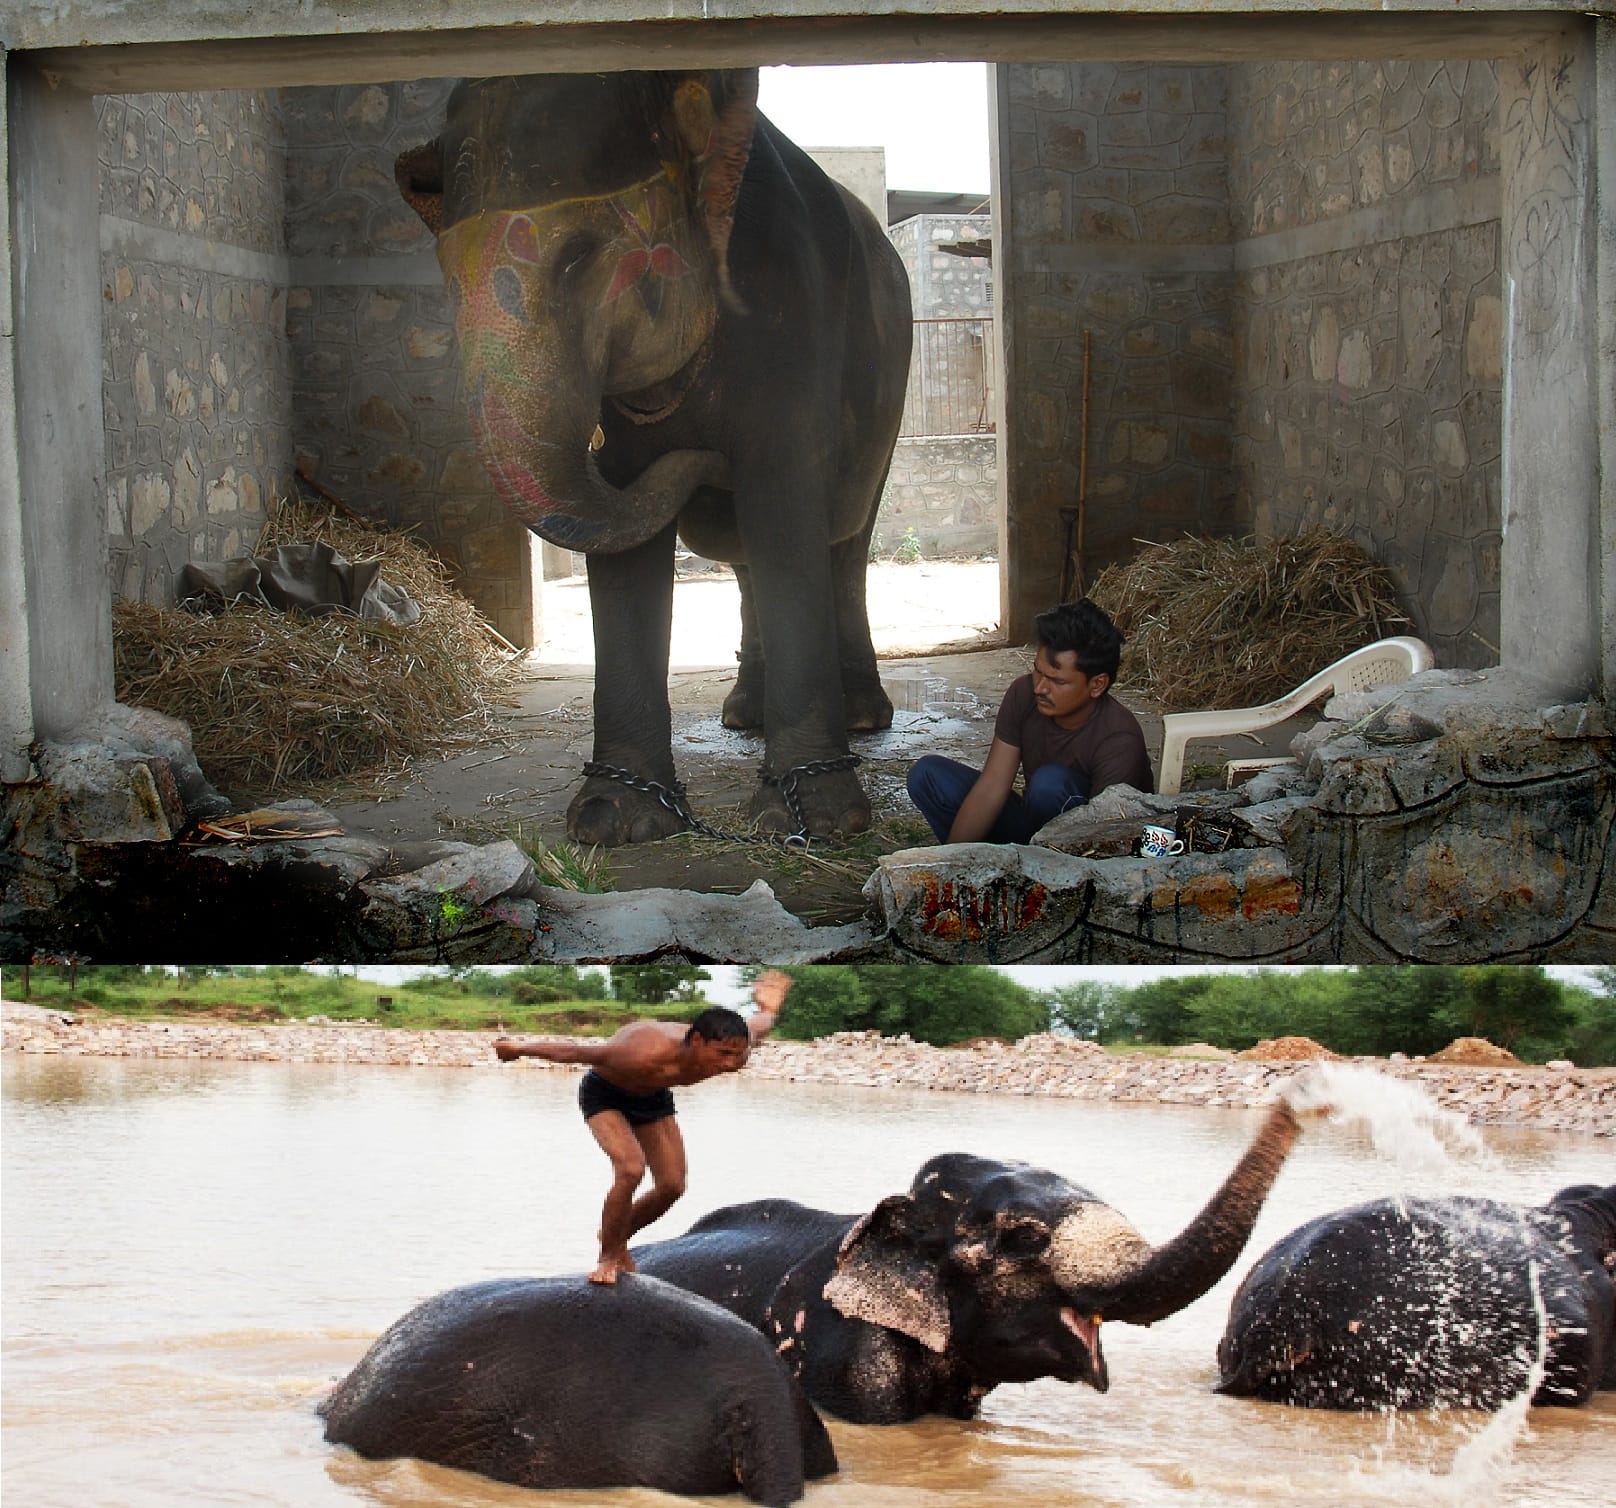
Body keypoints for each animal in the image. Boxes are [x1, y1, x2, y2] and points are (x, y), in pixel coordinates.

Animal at [396, 69, 913, 845]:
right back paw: (743, 715)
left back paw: (861, 717)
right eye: (447, 279)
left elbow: (783, 505)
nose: (703, 455)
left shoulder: (792, 315)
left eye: (580, 256)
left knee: (843, 540)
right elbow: (626, 534)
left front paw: (814, 823)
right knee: (746, 552)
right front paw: (612, 820)